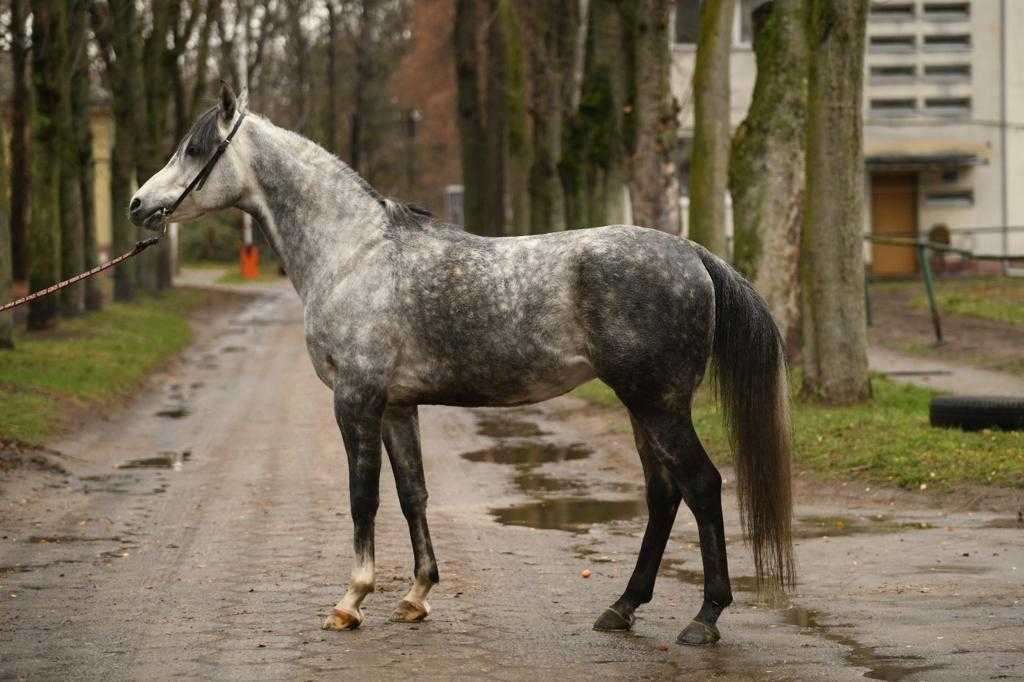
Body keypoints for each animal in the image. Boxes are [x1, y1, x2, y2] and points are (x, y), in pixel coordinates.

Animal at [130, 82, 794, 646]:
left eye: (196, 150)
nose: (138, 205)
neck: (354, 254)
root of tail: (693, 254)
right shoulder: (398, 406)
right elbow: (412, 494)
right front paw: (416, 595)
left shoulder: (356, 399)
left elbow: (363, 497)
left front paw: (351, 602)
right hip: (640, 404)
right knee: (663, 495)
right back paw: (622, 608)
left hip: (658, 403)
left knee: (701, 486)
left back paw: (704, 619)